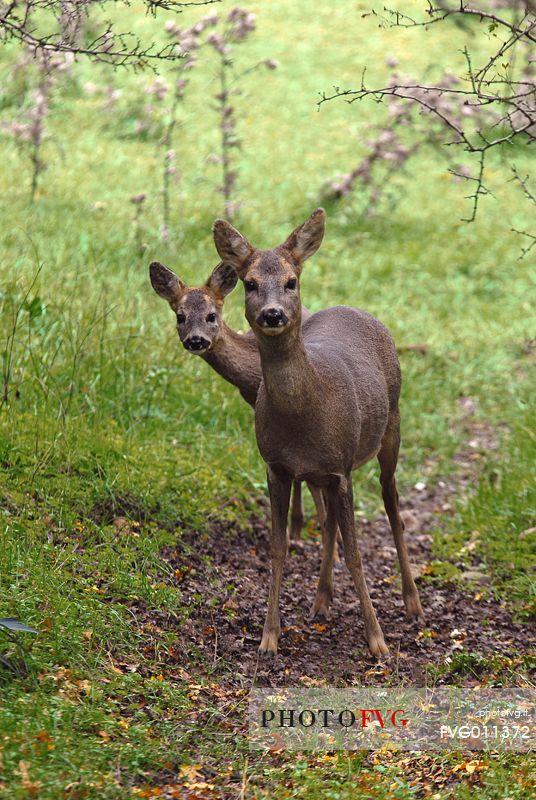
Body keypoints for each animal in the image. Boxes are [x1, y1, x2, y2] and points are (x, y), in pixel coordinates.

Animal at [211, 206, 426, 656]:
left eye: (291, 281)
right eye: (249, 283)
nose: (272, 314)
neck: (305, 416)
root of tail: (355, 309)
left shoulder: (341, 468)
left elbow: (357, 552)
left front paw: (378, 642)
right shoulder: (277, 466)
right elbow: (279, 548)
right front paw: (269, 638)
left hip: (392, 427)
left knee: (393, 506)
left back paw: (413, 602)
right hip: (326, 472)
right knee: (328, 526)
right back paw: (322, 599)